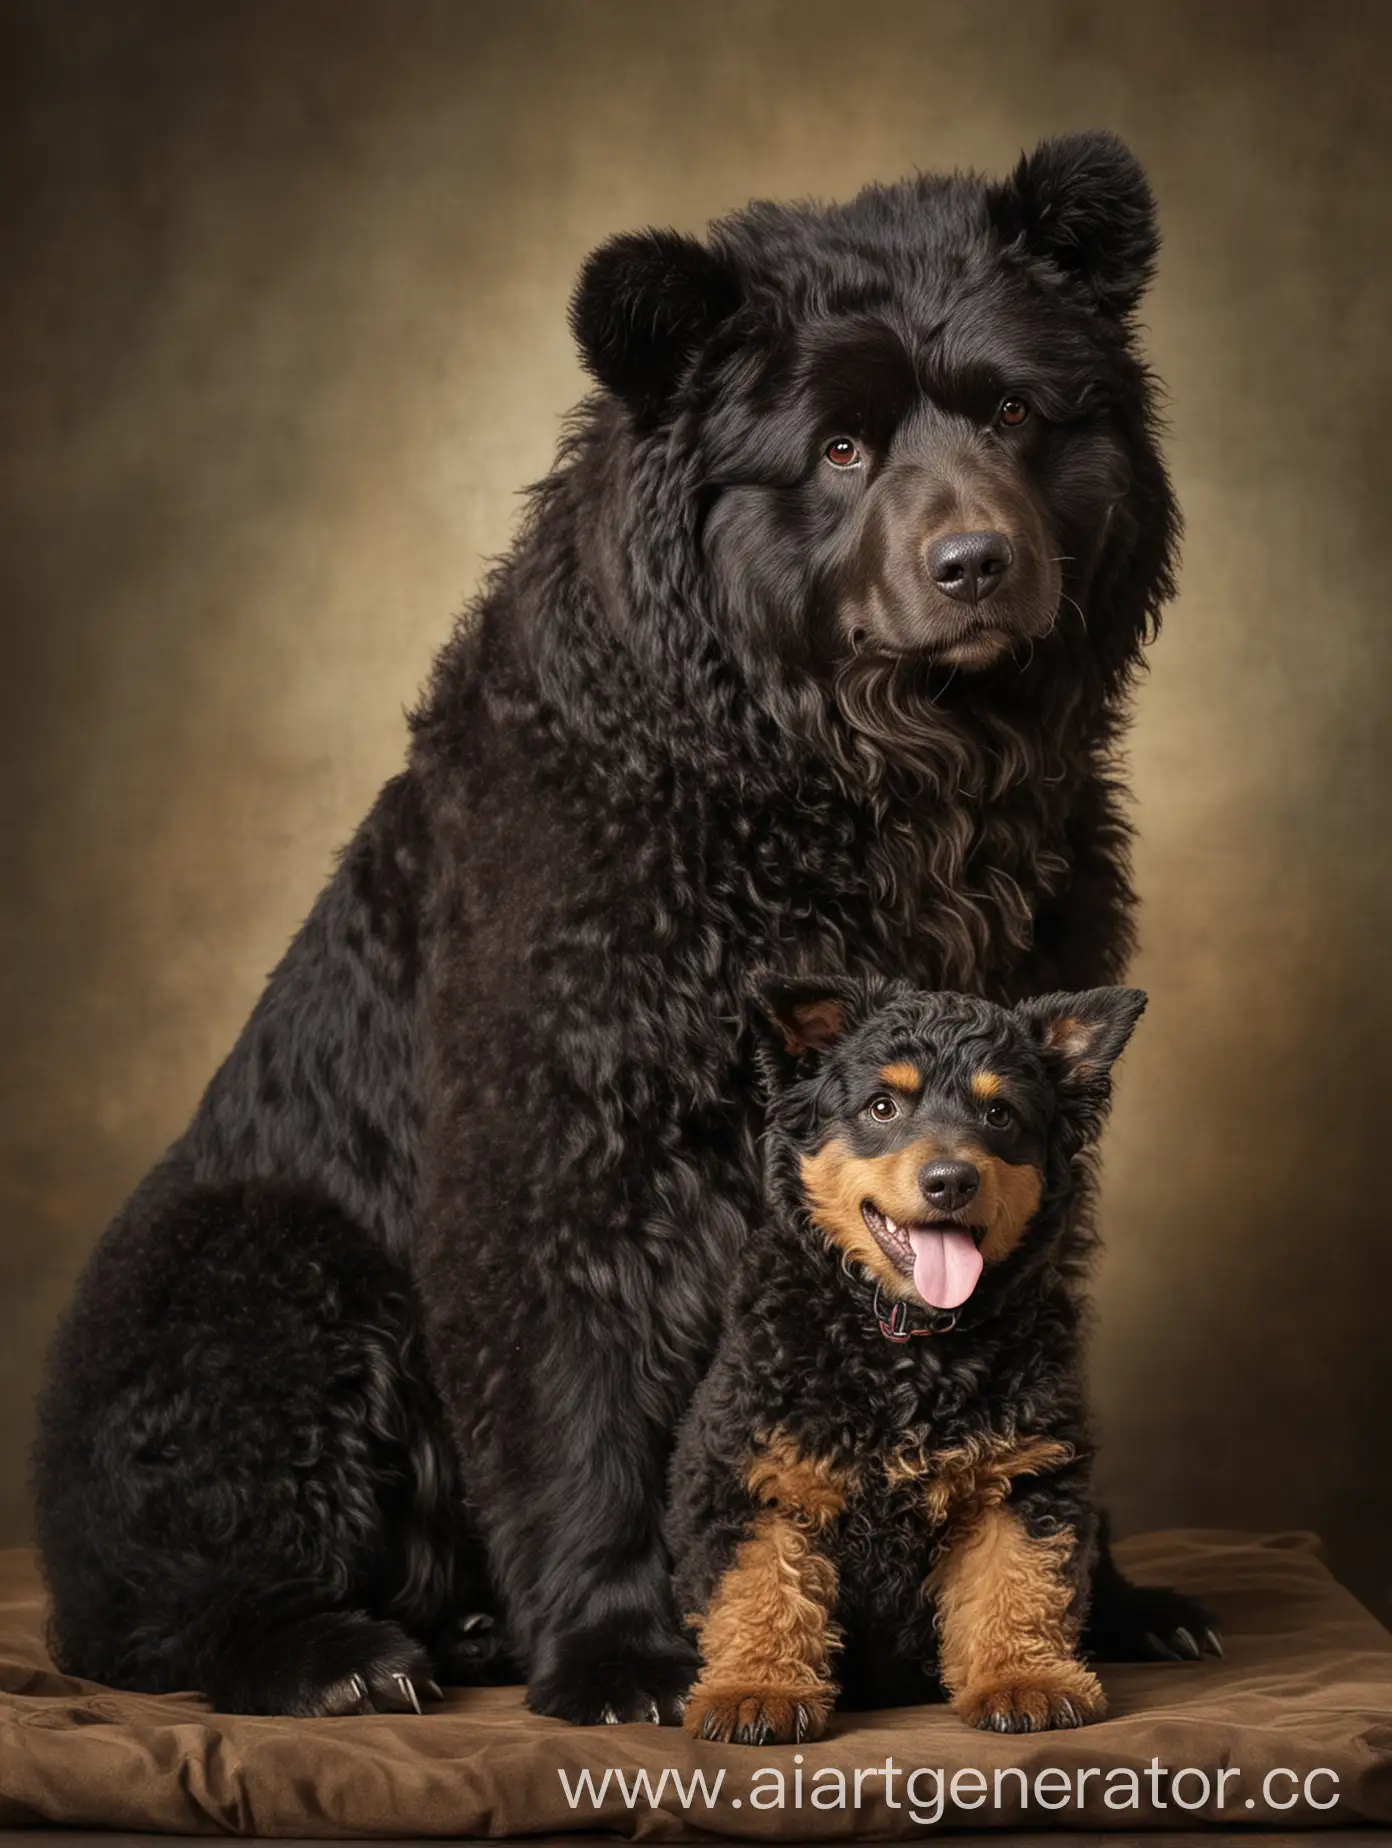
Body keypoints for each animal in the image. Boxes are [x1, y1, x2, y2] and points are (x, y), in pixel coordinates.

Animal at [665, 975, 1205, 1737]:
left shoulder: (1028, 1475)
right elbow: (760, 1586)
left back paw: (1162, 1621)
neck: (909, 1349)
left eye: (1000, 1113)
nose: (951, 1180)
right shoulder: (746, 1472)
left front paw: (1023, 1678)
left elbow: (1018, 1580)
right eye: (882, 1106)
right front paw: (756, 1689)